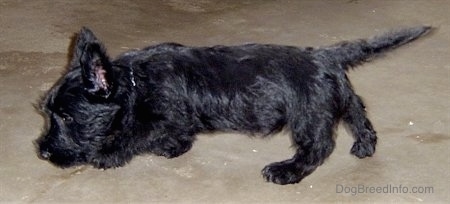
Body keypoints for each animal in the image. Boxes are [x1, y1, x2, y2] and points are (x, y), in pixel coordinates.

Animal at [36, 26, 432, 184]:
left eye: (67, 117)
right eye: (48, 114)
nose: (42, 151)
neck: (134, 80)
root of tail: (325, 57)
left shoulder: (156, 117)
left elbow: (132, 134)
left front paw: (106, 155)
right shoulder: (174, 118)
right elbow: (176, 134)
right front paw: (174, 148)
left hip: (308, 115)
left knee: (319, 145)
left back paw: (287, 171)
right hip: (338, 95)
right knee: (358, 112)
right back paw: (365, 145)